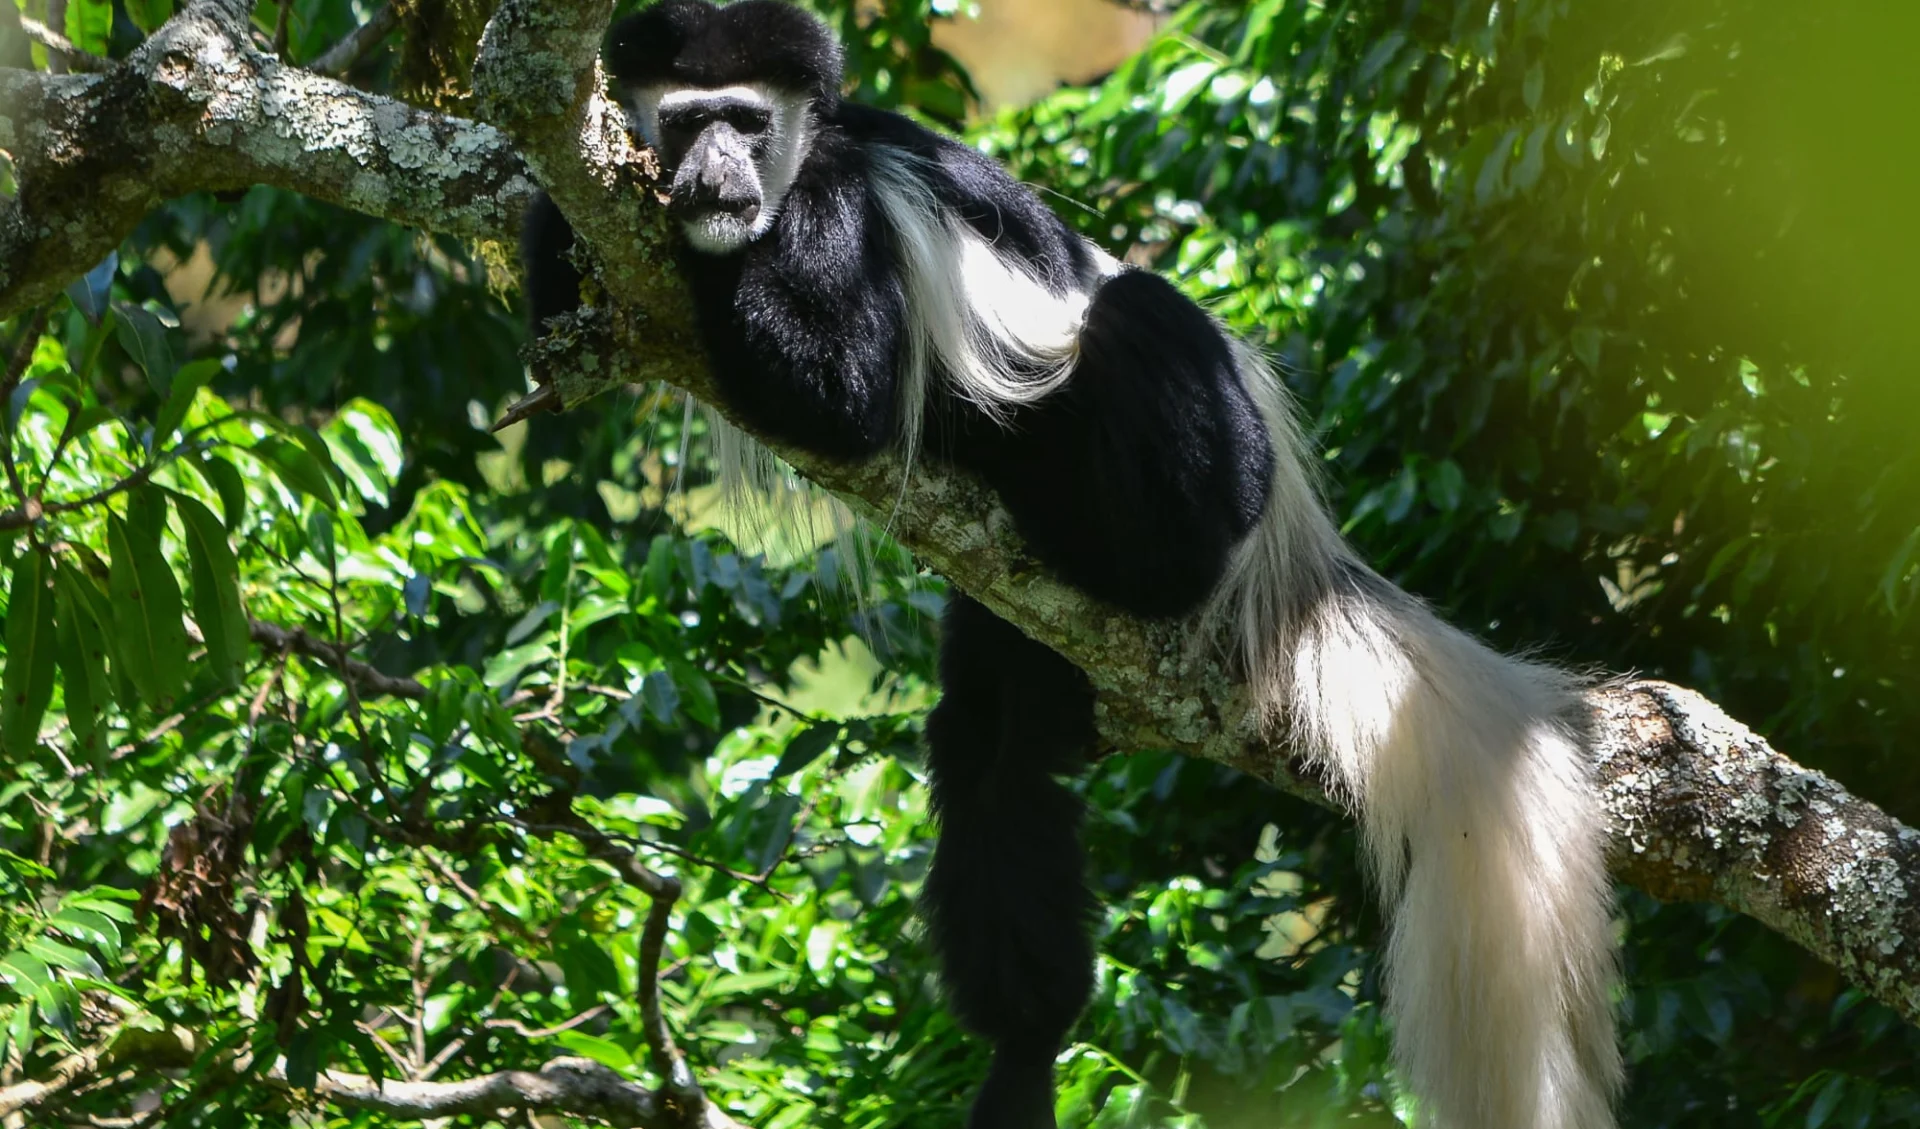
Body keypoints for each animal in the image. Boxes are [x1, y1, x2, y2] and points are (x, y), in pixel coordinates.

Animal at [522, 2, 1620, 1129]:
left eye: (744, 121)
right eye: (684, 121)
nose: (714, 176)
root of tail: (1296, 552)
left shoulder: (838, 210)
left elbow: (841, 391)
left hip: (1206, 484)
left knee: (1136, 312)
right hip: (1029, 636)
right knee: (996, 753)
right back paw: (1026, 1044)